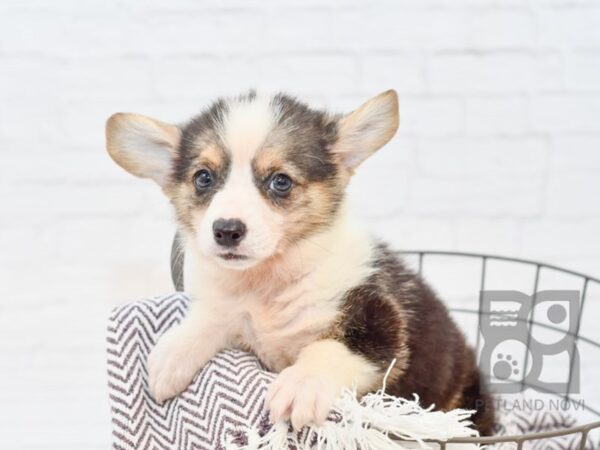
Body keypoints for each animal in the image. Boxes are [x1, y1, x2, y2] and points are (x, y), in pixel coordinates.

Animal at [105, 89, 494, 436]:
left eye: (281, 181)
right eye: (203, 177)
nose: (226, 230)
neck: (267, 284)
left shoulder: (380, 319)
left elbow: (333, 347)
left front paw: (301, 385)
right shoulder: (230, 310)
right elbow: (211, 317)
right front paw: (172, 355)